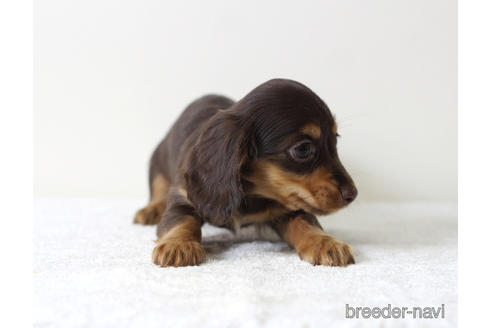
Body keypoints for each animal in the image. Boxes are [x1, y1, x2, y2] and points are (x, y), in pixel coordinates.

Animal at [135, 79, 358, 266]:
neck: (252, 192)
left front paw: (325, 243)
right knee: (157, 189)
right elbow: (181, 221)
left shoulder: (289, 208)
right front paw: (179, 245)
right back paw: (150, 210)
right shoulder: (183, 196)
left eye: (335, 140)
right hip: (157, 162)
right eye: (303, 149)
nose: (353, 194)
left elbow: (305, 222)